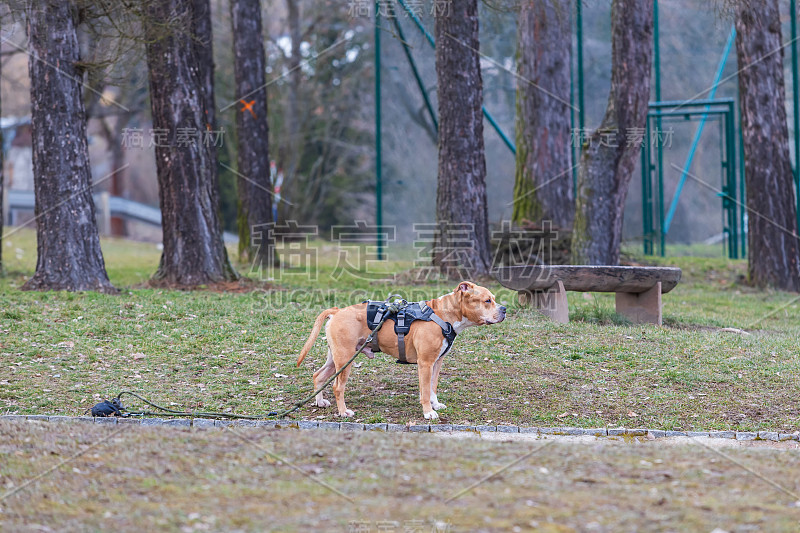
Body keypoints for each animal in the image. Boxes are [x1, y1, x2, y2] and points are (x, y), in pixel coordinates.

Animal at [296, 282, 510, 420]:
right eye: (487, 300)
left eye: (494, 299)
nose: (505, 309)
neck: (444, 315)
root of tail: (337, 311)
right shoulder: (425, 363)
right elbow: (425, 390)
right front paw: (428, 412)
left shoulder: (436, 363)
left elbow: (432, 387)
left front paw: (435, 404)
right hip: (345, 358)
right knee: (337, 387)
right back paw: (343, 412)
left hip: (336, 358)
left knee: (318, 375)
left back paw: (320, 402)